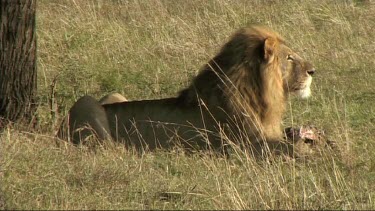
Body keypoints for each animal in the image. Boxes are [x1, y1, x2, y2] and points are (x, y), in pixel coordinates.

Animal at [58, 25, 318, 157]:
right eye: (290, 57)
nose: (313, 71)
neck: (261, 93)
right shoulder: (239, 145)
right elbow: (287, 147)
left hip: (113, 94)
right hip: (86, 103)